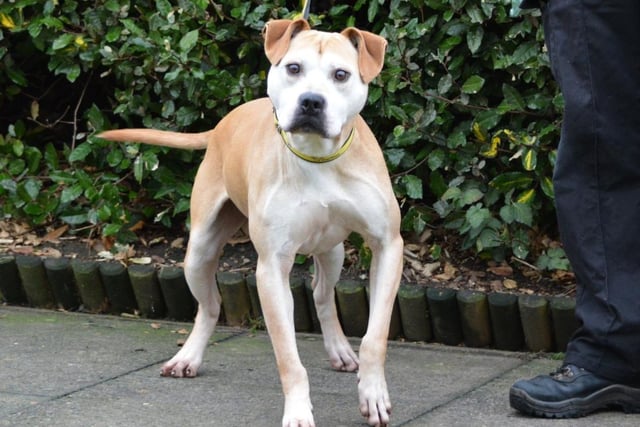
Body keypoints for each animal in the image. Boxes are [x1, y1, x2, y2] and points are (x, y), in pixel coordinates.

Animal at [98, 18, 402, 426]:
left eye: (341, 75)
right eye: (294, 68)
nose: (311, 101)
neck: (318, 158)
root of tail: (223, 122)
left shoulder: (388, 245)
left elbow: (375, 337)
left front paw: (373, 395)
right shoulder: (272, 267)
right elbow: (288, 356)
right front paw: (298, 412)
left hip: (332, 250)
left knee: (322, 296)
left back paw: (339, 349)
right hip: (199, 251)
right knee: (210, 306)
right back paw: (188, 357)